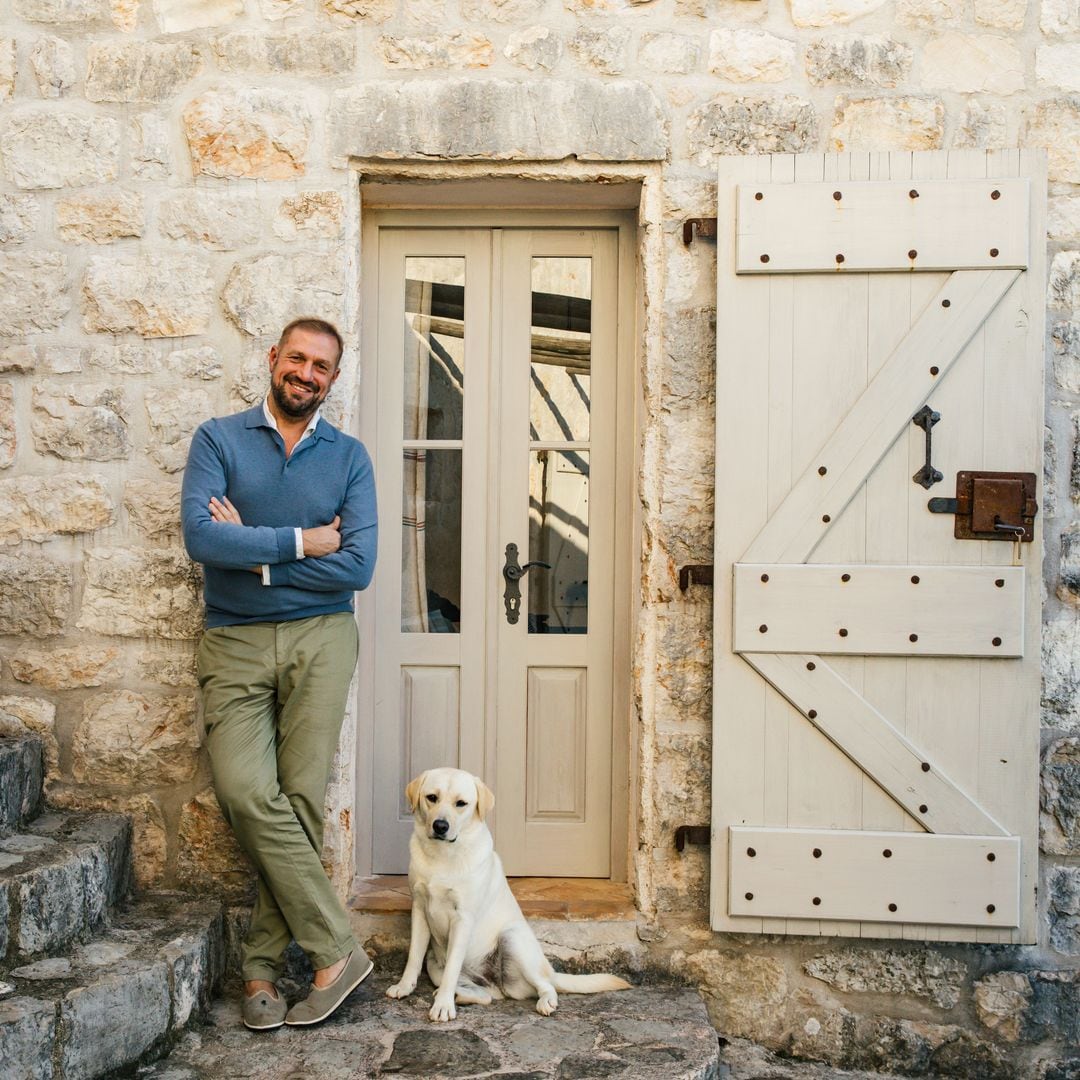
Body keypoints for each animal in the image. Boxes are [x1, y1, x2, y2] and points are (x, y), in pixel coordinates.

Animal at [388, 768, 630, 1019]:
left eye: (461, 803)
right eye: (432, 797)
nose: (440, 826)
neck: (443, 855)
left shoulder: (463, 918)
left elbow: (452, 968)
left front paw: (443, 1006)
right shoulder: (419, 909)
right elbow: (414, 957)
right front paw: (405, 987)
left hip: (512, 938)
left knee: (546, 985)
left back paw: (545, 1001)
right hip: (435, 964)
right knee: (482, 995)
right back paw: (460, 995)